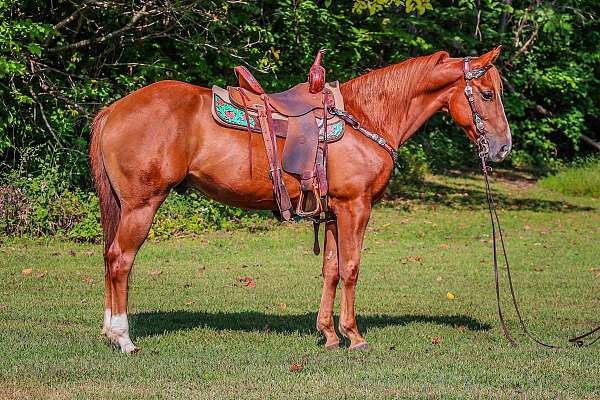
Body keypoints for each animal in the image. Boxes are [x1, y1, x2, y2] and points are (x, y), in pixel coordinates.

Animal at [90, 47, 510, 354]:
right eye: (487, 94)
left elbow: (331, 269)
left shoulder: (334, 212)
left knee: (109, 258)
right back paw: (124, 338)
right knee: (121, 260)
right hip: (142, 206)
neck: (366, 117)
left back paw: (110, 332)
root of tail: (114, 109)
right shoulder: (356, 207)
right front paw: (355, 336)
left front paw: (329, 334)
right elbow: (352, 268)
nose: (504, 147)